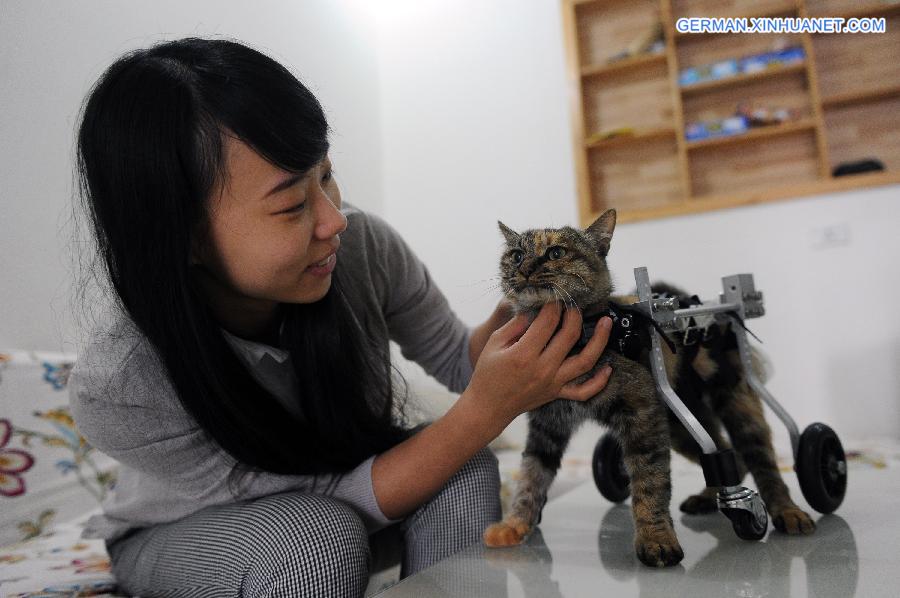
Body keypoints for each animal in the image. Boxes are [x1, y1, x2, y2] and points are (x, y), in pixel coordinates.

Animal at [486, 210, 816, 568]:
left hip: (734, 405)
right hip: (681, 424)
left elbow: (649, 483)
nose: (524, 268)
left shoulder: (642, 415)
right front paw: (515, 524)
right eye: (516, 255)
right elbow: (531, 476)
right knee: (723, 453)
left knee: (761, 460)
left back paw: (785, 511)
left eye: (556, 252)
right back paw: (708, 498)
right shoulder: (547, 425)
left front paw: (655, 538)